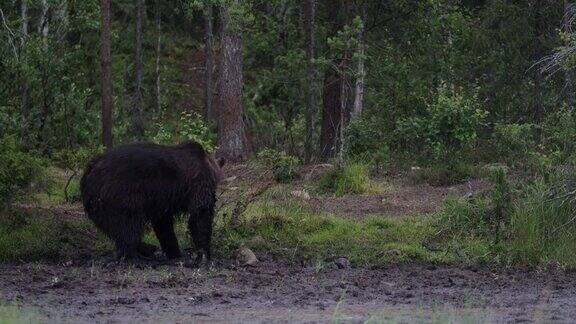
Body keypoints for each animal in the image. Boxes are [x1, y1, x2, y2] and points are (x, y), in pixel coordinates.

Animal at [80, 140, 224, 264]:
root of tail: (90, 168)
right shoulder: (198, 182)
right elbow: (201, 214)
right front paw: (204, 253)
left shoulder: (162, 201)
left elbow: (164, 224)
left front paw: (175, 252)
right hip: (122, 193)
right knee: (130, 223)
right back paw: (136, 256)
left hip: (97, 202)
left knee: (115, 227)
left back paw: (147, 249)